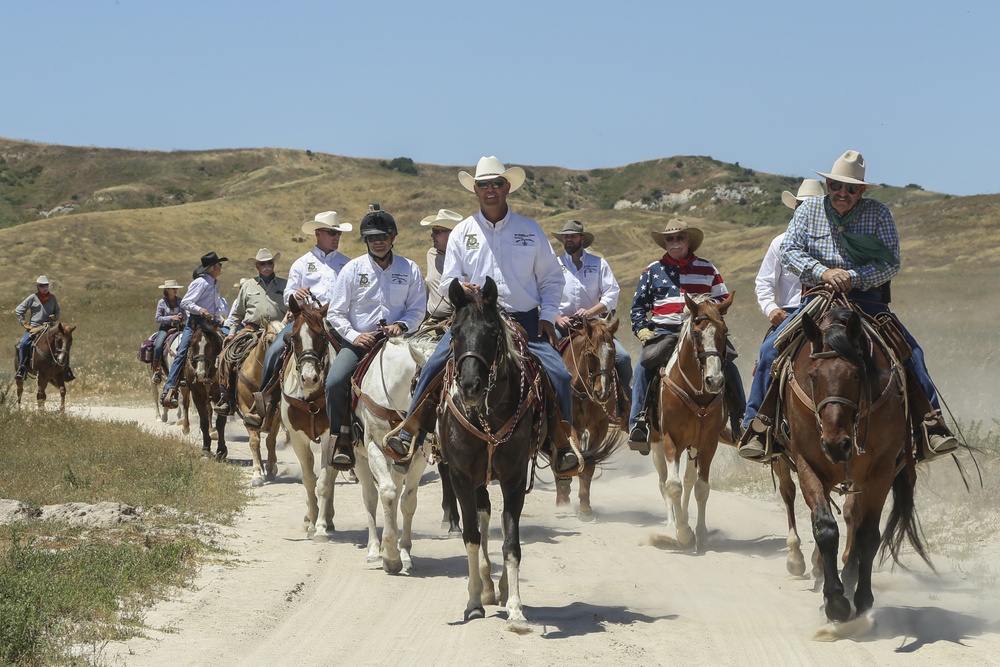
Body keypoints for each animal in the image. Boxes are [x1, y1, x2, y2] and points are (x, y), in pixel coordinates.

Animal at [556, 318, 624, 520]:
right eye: (589, 354)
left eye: (613, 353)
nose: (602, 393)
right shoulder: (568, 425)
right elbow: (574, 454)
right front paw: (564, 498)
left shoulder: (599, 428)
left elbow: (589, 463)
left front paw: (585, 507)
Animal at [648, 292, 736, 552]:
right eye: (696, 333)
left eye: (724, 332)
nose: (715, 381)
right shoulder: (671, 440)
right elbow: (672, 485)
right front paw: (683, 534)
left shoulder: (707, 442)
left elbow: (700, 487)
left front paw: (700, 532)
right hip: (657, 443)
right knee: (663, 482)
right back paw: (672, 524)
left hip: (693, 445)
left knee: (688, 481)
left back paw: (685, 519)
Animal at [780, 306, 928, 624]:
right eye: (813, 376)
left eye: (857, 374)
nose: (836, 444)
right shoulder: (808, 464)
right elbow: (825, 529)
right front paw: (834, 601)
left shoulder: (881, 471)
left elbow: (868, 536)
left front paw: (861, 599)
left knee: (855, 522)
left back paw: (849, 579)